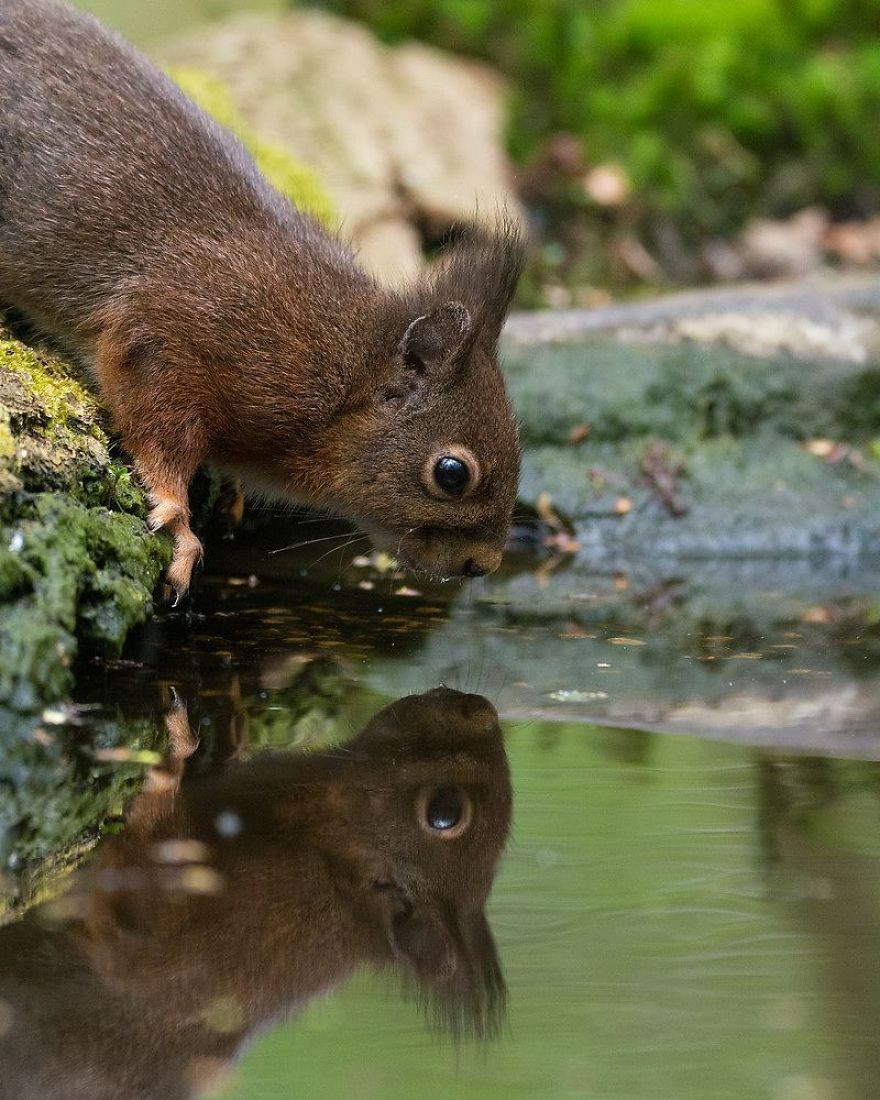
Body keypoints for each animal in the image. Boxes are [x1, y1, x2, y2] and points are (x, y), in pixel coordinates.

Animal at [0, 0, 525, 600]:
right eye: (451, 474)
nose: (483, 564)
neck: (341, 369)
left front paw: (230, 488)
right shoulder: (172, 336)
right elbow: (157, 430)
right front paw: (179, 521)